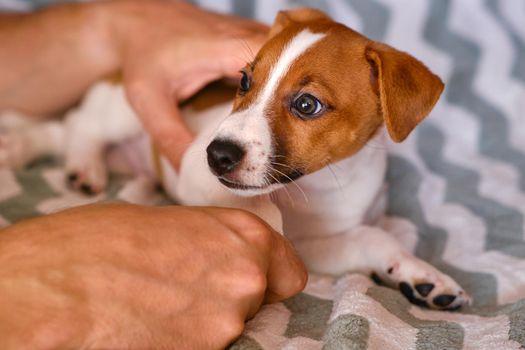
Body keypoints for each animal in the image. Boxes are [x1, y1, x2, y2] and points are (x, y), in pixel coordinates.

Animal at [0, 0, 266, 170]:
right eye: (243, 80)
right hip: (121, 111)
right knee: (80, 125)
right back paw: (85, 166)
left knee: (62, 132)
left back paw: (19, 148)